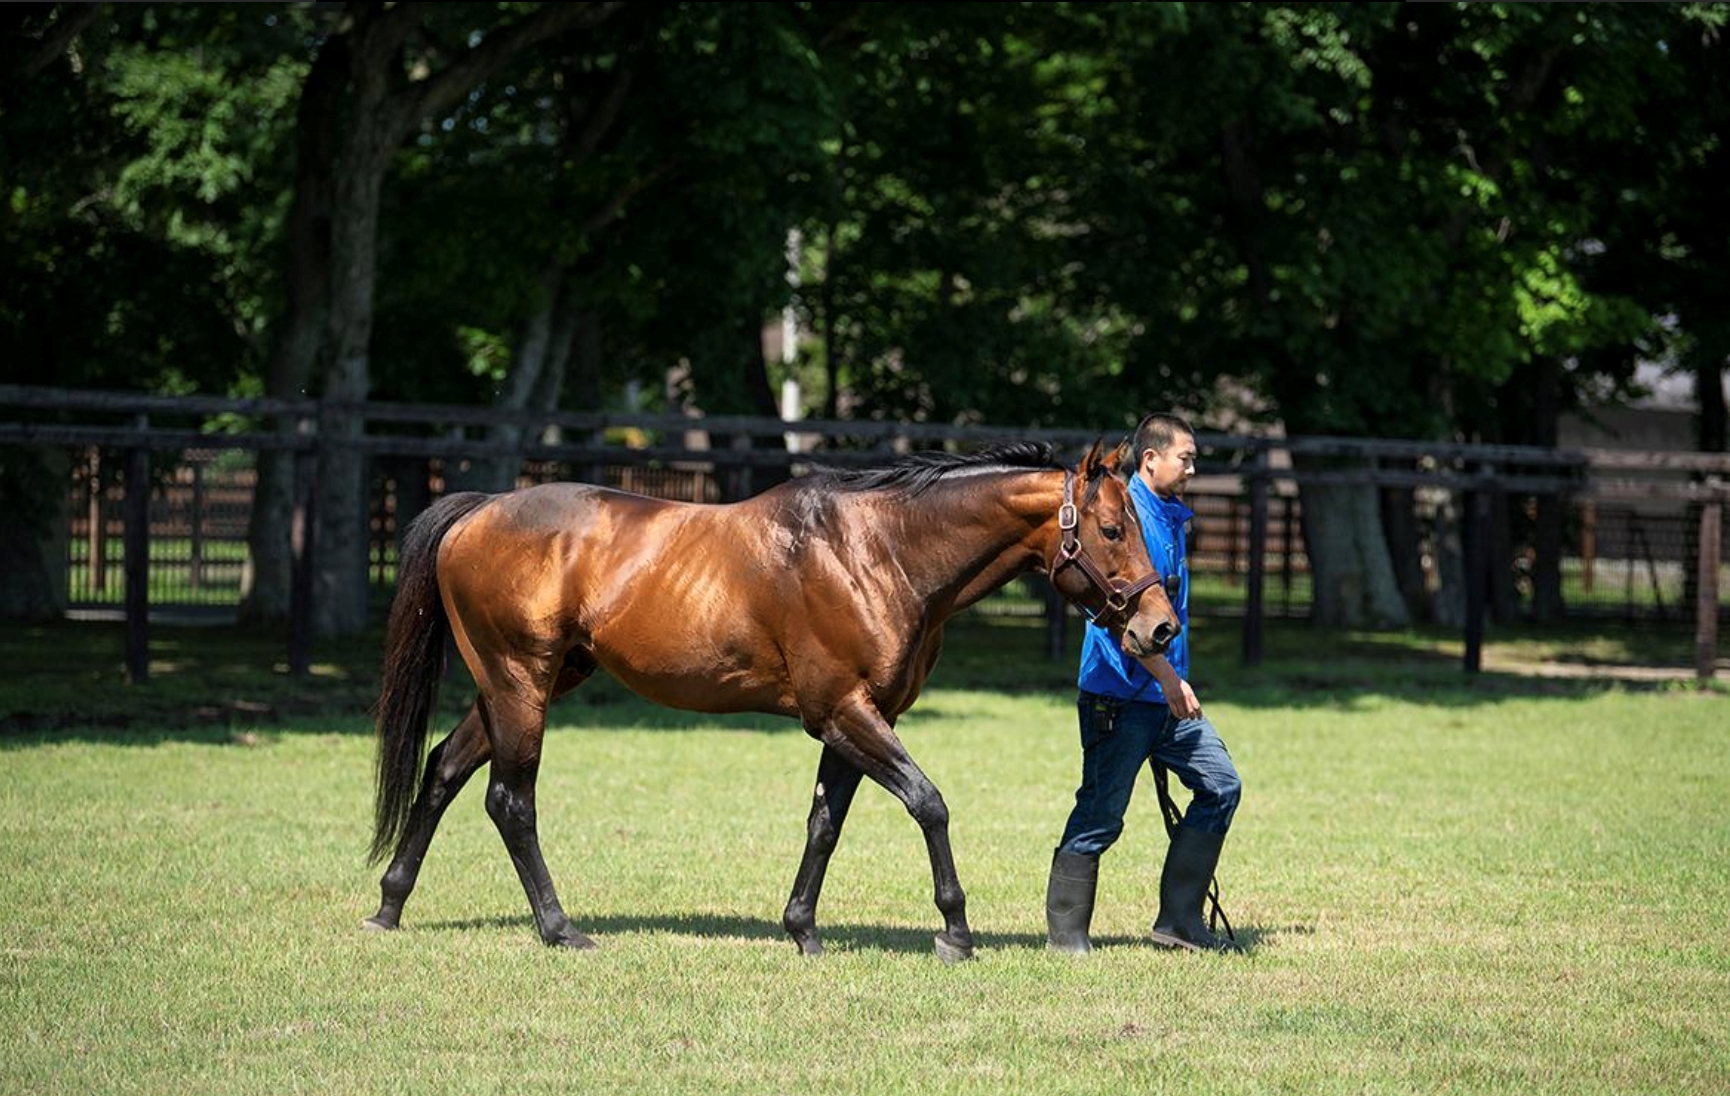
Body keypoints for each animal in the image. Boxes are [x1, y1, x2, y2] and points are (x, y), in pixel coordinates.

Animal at [361, 435, 1176, 954]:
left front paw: (803, 929)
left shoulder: (856, 719)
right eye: (1111, 528)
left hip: (524, 685)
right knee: (510, 802)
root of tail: (478, 510)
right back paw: (560, 928)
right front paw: (954, 931)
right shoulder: (844, 714)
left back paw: (390, 907)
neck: (878, 551)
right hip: (520, 684)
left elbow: (824, 824)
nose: (1160, 628)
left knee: (442, 770)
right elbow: (929, 803)